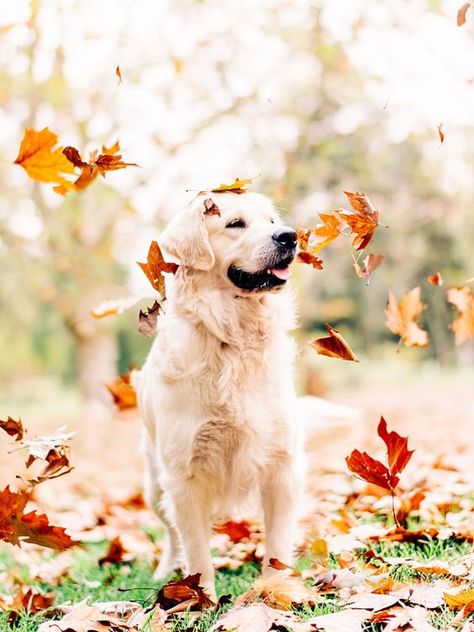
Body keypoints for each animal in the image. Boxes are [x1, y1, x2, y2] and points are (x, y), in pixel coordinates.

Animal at [133, 191, 312, 596]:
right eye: (235, 224)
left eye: (273, 220)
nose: (289, 237)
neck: (232, 339)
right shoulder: (184, 476)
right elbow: (197, 550)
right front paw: (201, 599)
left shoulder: (283, 465)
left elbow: (278, 543)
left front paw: (274, 591)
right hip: (154, 484)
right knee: (171, 534)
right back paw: (166, 570)